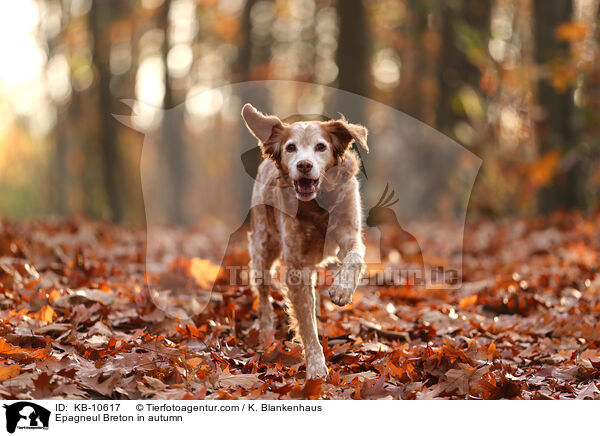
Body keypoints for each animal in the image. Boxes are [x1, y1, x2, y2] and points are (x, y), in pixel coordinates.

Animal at [241, 104, 368, 380]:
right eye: (291, 147)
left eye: (321, 146)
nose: (304, 165)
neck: (317, 206)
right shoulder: (297, 266)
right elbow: (307, 325)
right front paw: (317, 368)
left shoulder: (349, 234)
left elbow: (354, 258)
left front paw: (342, 289)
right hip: (263, 248)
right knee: (263, 295)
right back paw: (265, 336)